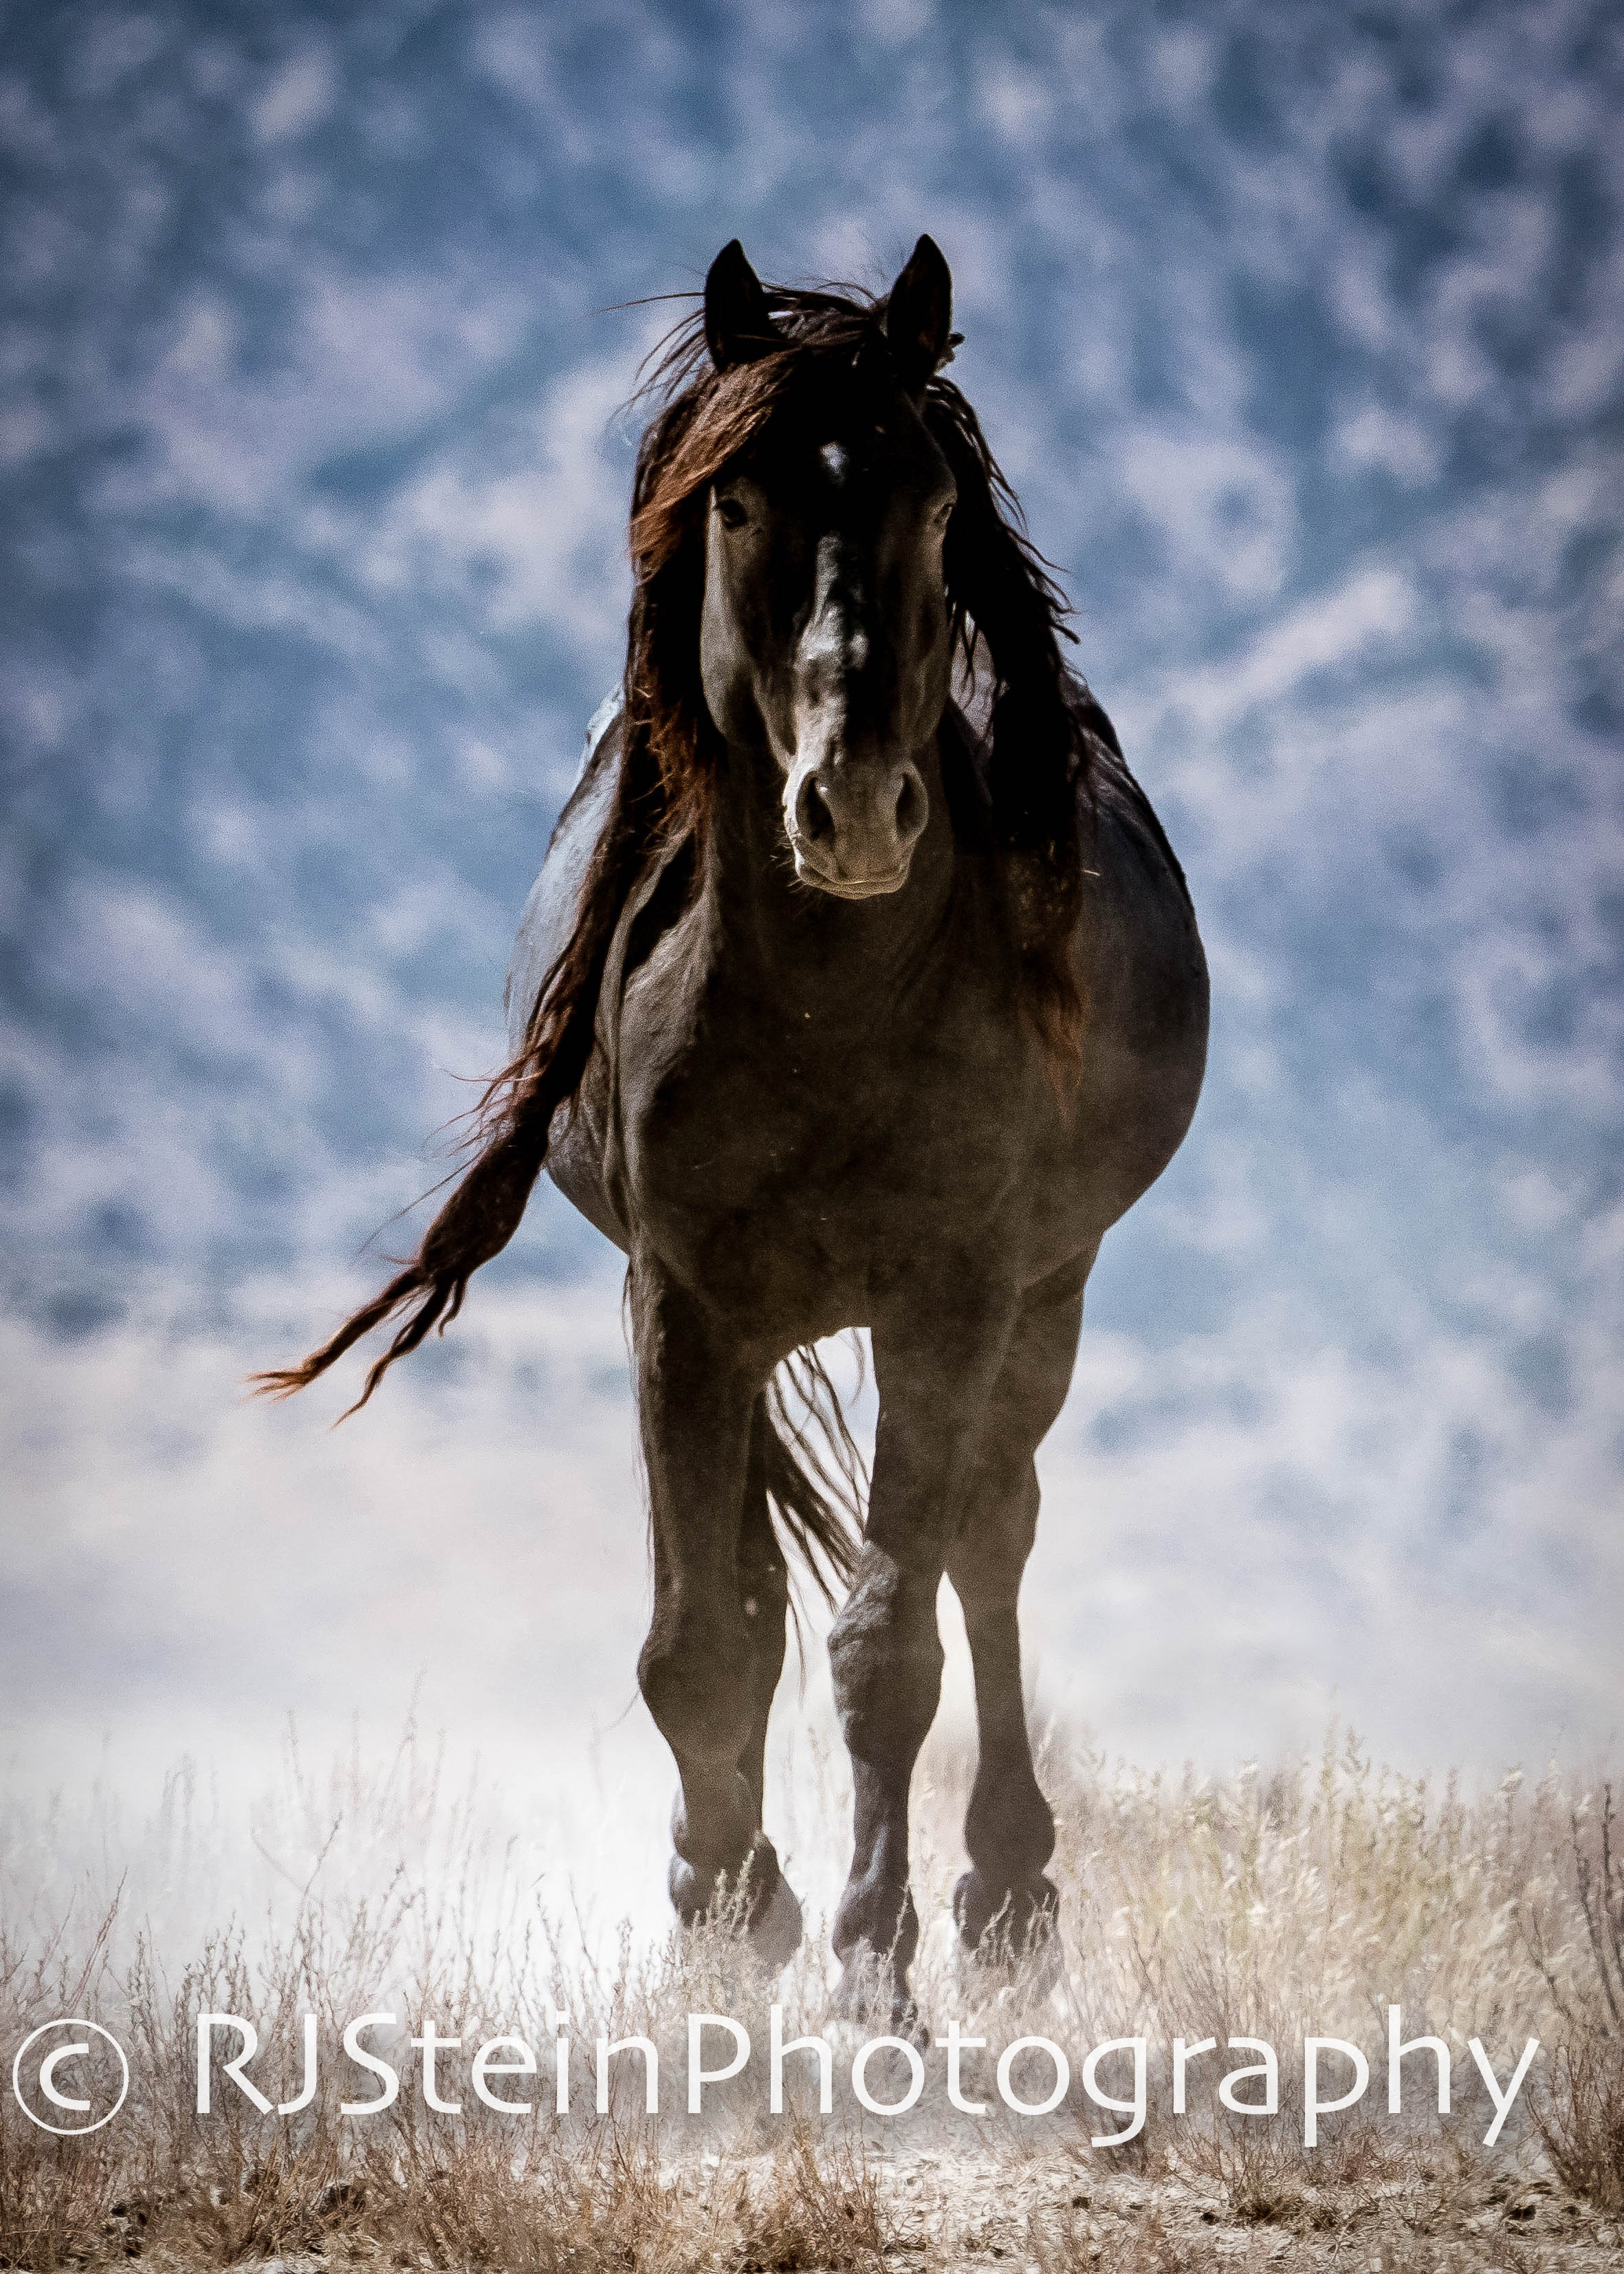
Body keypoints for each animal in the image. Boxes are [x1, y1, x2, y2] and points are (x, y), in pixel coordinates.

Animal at [263, 239, 1200, 2019]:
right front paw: (720, 1914)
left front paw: (868, 1967)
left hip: (1046, 1296)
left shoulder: (951, 1296)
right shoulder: (681, 1302)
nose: (851, 807)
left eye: (932, 498)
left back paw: (1004, 1897)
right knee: (774, 1588)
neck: (830, 997)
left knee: (990, 1539)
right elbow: (699, 1643)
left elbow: (887, 1639)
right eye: (740, 498)